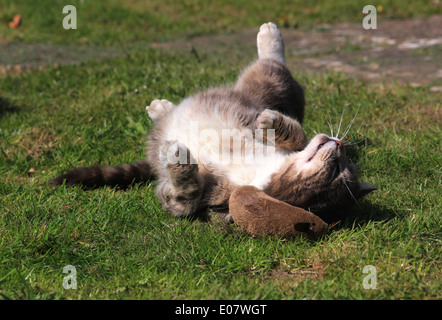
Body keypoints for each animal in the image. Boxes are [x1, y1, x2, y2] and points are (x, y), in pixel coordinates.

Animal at [51, 22, 376, 224]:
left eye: (338, 168)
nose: (339, 143)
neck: (259, 171)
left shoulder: (203, 198)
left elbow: (184, 198)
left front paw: (179, 160)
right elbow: (296, 132)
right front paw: (271, 122)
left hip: (268, 83)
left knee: (272, 65)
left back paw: (269, 34)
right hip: (261, 94)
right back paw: (162, 107)